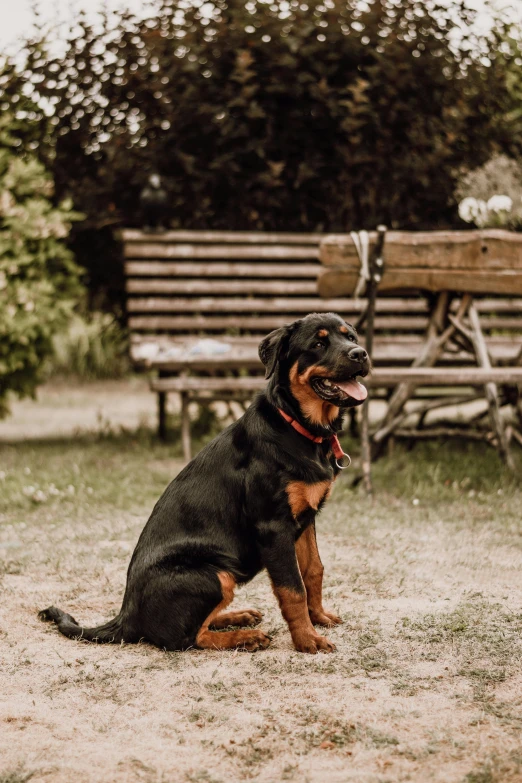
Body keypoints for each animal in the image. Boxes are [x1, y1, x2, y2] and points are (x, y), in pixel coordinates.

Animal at [38, 312, 368, 656]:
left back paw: (239, 617)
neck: (298, 426)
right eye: (318, 344)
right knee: (186, 638)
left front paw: (319, 618)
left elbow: (313, 570)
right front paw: (307, 640)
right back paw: (245, 637)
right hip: (214, 573)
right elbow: (293, 589)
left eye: (351, 337)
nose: (361, 354)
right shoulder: (274, 526)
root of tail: (126, 616)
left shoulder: (305, 518)